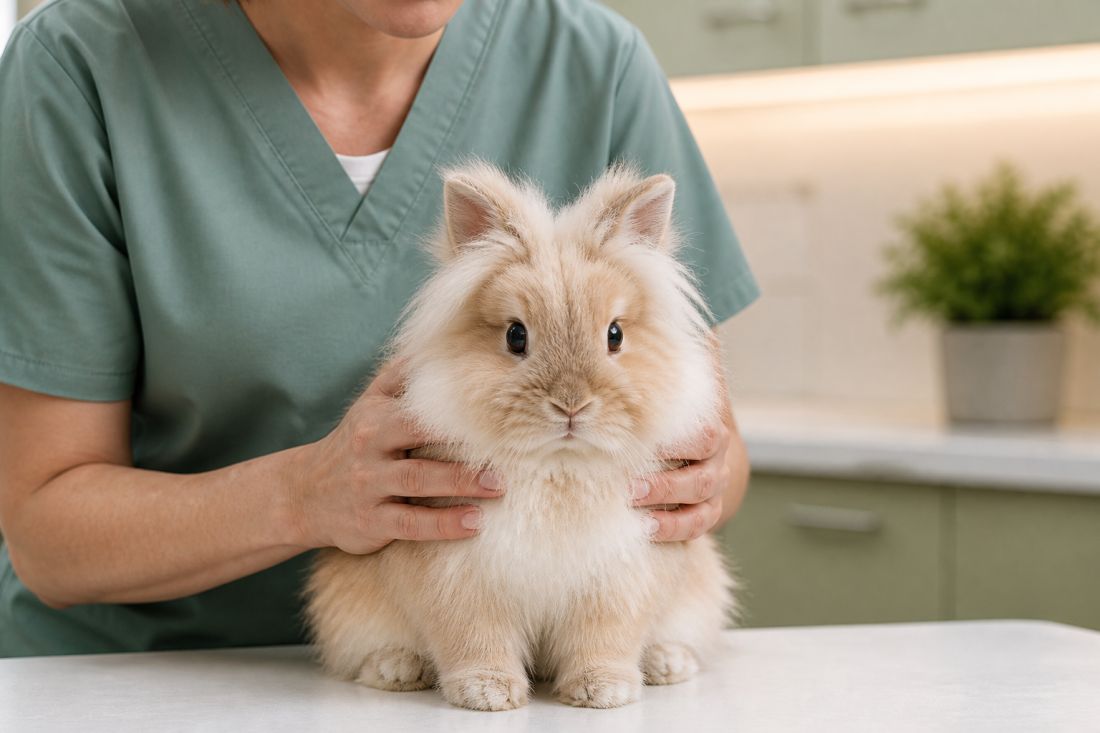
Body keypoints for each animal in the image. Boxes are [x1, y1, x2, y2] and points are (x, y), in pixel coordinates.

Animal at [305, 162, 736, 711]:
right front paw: (488, 693)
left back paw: (666, 663)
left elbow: (606, 636)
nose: (571, 404)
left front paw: (603, 691)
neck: (558, 465)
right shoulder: (455, 571)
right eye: (515, 335)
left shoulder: (623, 572)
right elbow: (473, 634)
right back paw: (398, 669)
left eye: (615, 334)